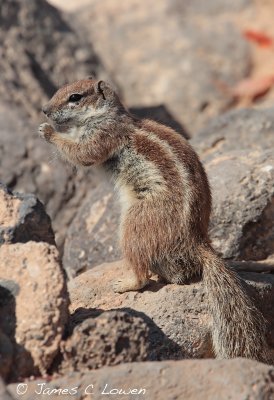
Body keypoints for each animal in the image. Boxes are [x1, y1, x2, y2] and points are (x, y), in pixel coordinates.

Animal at [39, 78, 268, 362]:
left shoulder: (103, 134)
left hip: (135, 223)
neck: (108, 114)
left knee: (142, 275)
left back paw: (125, 284)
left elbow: (82, 152)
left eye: (75, 97)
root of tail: (197, 240)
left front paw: (48, 132)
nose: (45, 110)